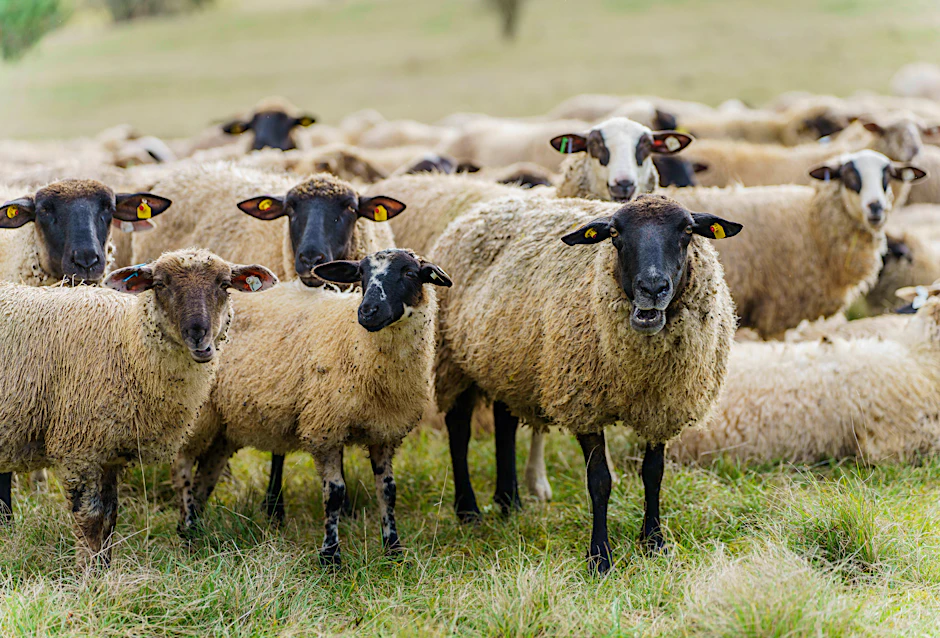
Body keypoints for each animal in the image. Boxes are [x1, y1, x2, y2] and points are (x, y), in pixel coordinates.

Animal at [0, 249, 277, 568]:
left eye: (223, 284)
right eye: (160, 284)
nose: (198, 336)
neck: (126, 344)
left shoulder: (110, 454)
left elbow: (109, 518)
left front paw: (104, 570)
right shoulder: (78, 448)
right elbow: (90, 519)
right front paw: (86, 574)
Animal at [173, 250, 451, 566]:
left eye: (409, 273)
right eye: (362, 275)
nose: (368, 312)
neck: (356, 343)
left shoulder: (384, 432)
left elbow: (388, 490)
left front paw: (393, 550)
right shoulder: (325, 428)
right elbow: (335, 493)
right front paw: (330, 556)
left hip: (223, 424)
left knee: (207, 473)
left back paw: (198, 526)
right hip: (196, 414)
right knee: (183, 465)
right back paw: (187, 529)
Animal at [428, 193, 741, 572]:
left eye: (688, 231)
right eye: (615, 234)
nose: (652, 289)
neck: (640, 370)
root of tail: (484, 206)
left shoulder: (662, 407)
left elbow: (653, 474)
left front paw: (654, 542)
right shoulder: (584, 403)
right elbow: (599, 482)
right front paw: (600, 557)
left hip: (509, 361)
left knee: (504, 423)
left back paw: (509, 501)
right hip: (453, 362)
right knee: (459, 431)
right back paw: (469, 510)